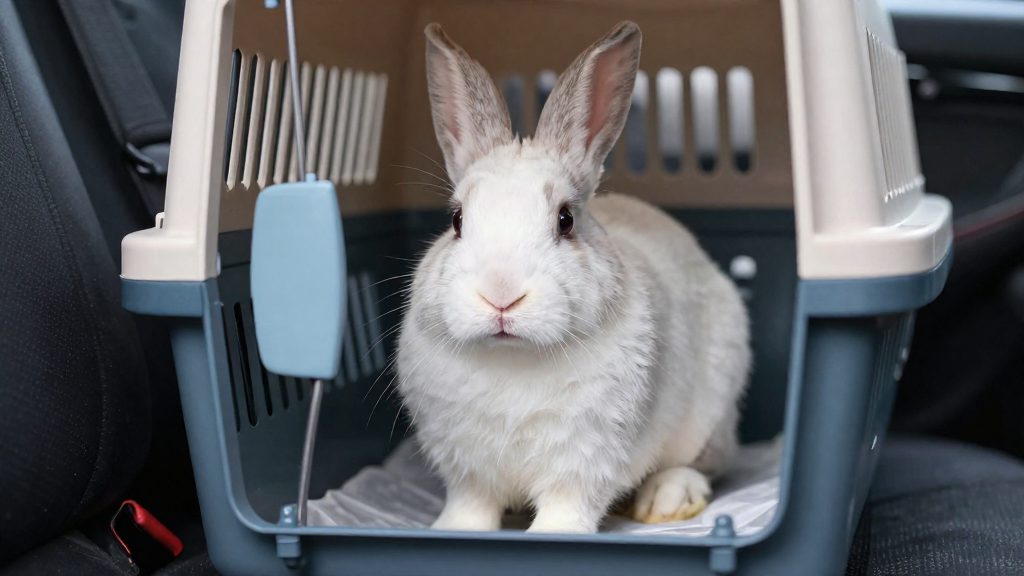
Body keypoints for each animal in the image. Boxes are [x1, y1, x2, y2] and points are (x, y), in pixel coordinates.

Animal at [395, 20, 750, 534]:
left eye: (565, 220)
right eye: (457, 221)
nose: (501, 295)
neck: (513, 359)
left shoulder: (587, 460)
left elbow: (569, 504)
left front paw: (554, 534)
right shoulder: (466, 469)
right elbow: (471, 503)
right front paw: (453, 531)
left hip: (708, 416)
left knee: (702, 464)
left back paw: (666, 500)